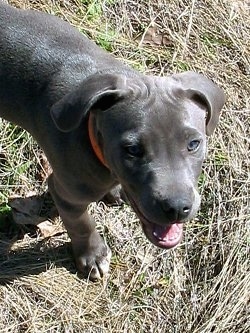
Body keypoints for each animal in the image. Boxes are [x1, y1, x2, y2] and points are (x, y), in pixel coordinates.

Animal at [0, 1, 226, 278]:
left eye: (194, 144)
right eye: (132, 149)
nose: (177, 208)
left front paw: (114, 192)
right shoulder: (65, 192)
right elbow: (81, 223)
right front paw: (92, 255)